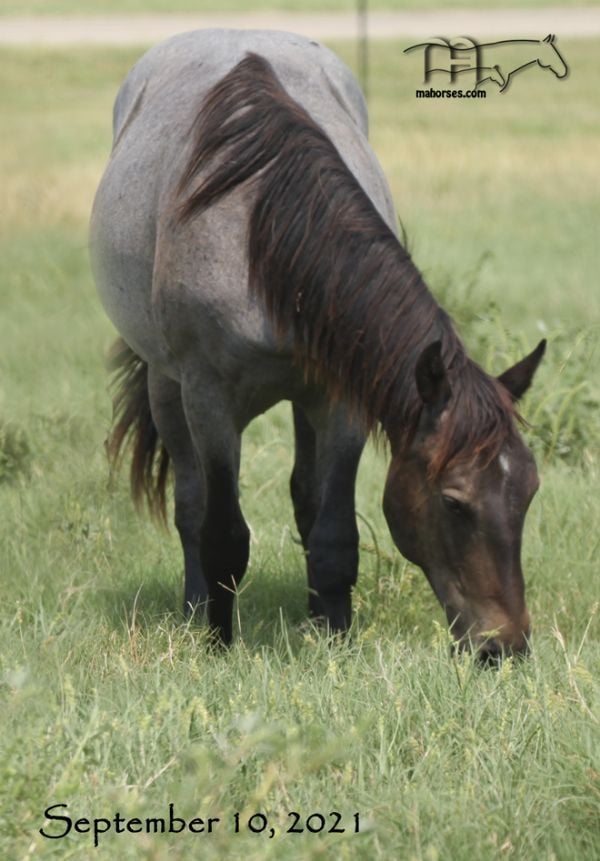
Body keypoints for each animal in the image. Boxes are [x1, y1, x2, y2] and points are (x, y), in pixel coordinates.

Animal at [91, 28, 548, 660]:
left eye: (528, 492)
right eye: (455, 502)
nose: (505, 646)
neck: (259, 236)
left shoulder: (340, 399)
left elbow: (333, 531)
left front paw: (334, 640)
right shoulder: (209, 401)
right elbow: (221, 533)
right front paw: (218, 644)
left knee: (306, 499)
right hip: (166, 386)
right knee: (189, 503)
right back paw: (193, 611)